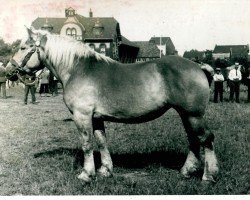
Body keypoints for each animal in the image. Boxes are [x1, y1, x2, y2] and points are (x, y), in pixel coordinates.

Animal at [4, 28, 218, 183]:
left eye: (23, 47)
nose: (8, 71)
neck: (77, 69)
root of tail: (198, 66)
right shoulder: (97, 118)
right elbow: (101, 142)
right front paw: (105, 170)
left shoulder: (82, 115)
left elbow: (87, 144)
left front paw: (86, 174)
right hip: (186, 114)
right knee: (193, 140)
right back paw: (187, 170)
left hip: (193, 115)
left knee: (206, 139)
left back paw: (208, 176)